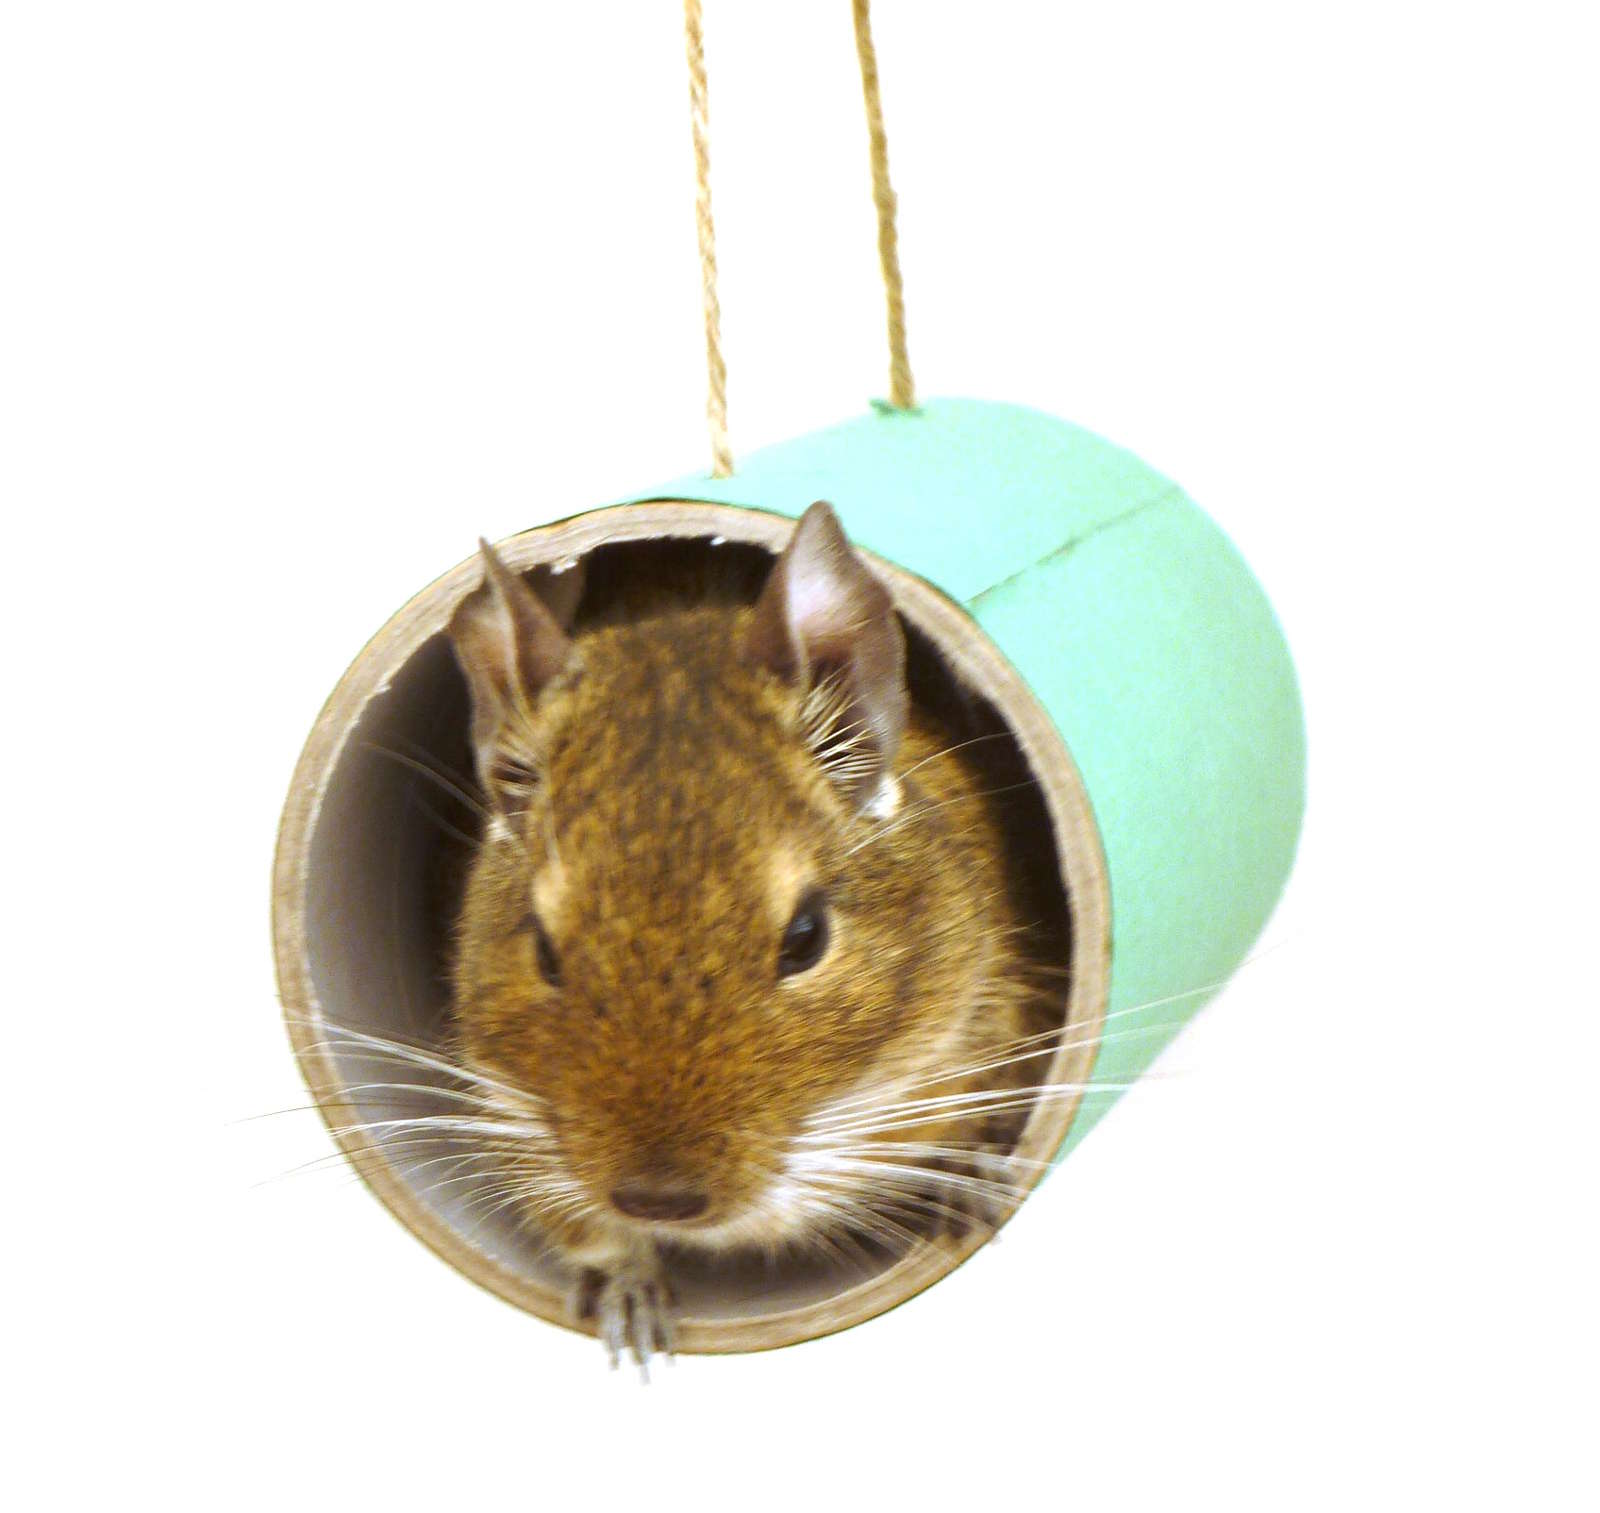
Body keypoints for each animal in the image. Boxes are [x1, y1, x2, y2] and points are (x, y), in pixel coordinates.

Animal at [446, 502, 1058, 1369]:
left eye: (806, 936)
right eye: (542, 949)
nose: (659, 1201)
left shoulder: (1003, 1009)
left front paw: (963, 1184)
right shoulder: (508, 1112)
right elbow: (585, 1229)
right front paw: (633, 1309)